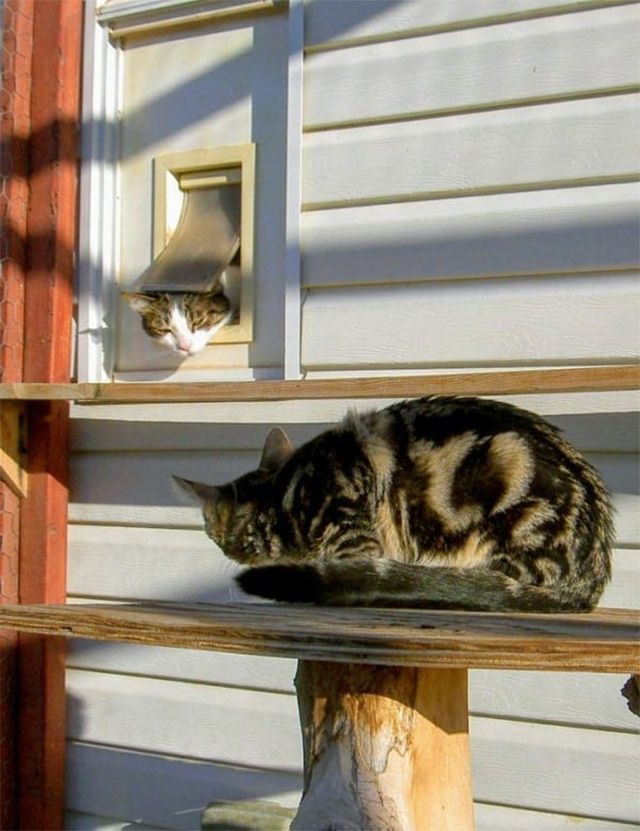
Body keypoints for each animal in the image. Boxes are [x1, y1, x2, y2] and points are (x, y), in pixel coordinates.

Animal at [172, 394, 612, 616]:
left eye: (212, 534)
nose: (224, 551)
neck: (284, 497)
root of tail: (591, 579)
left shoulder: (350, 531)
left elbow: (347, 572)